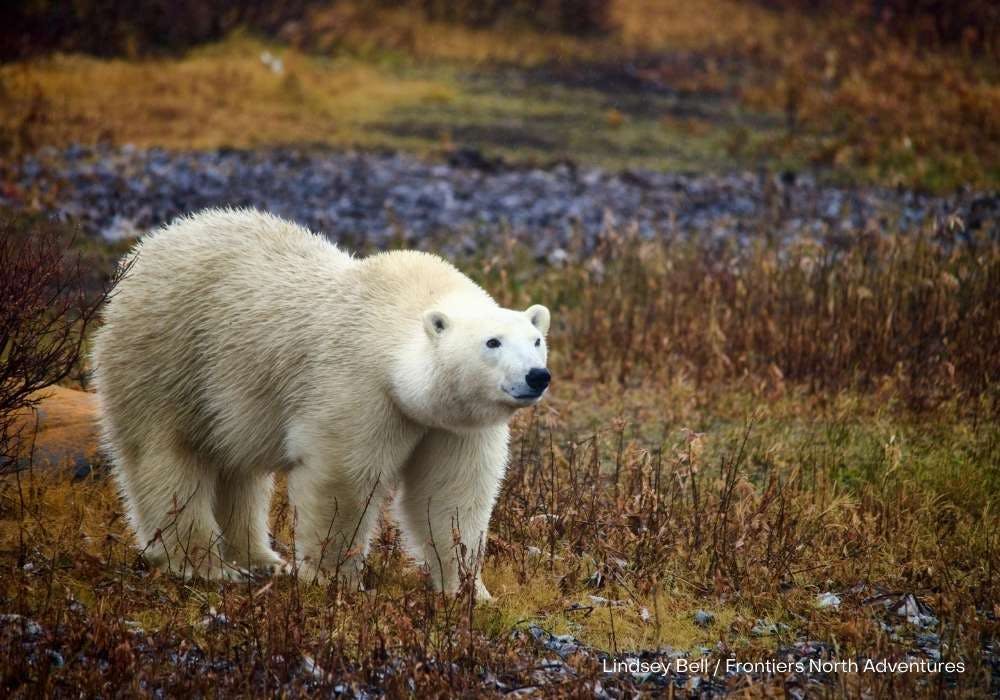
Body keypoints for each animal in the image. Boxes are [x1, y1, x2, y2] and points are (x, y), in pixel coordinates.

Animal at [91, 208, 551, 599]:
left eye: (536, 340)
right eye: (492, 342)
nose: (537, 376)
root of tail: (151, 244)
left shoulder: (452, 424)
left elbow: (451, 494)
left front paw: (469, 591)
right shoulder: (358, 385)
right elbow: (343, 480)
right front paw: (333, 580)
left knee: (237, 471)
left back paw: (260, 559)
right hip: (167, 357)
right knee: (167, 459)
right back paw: (202, 564)